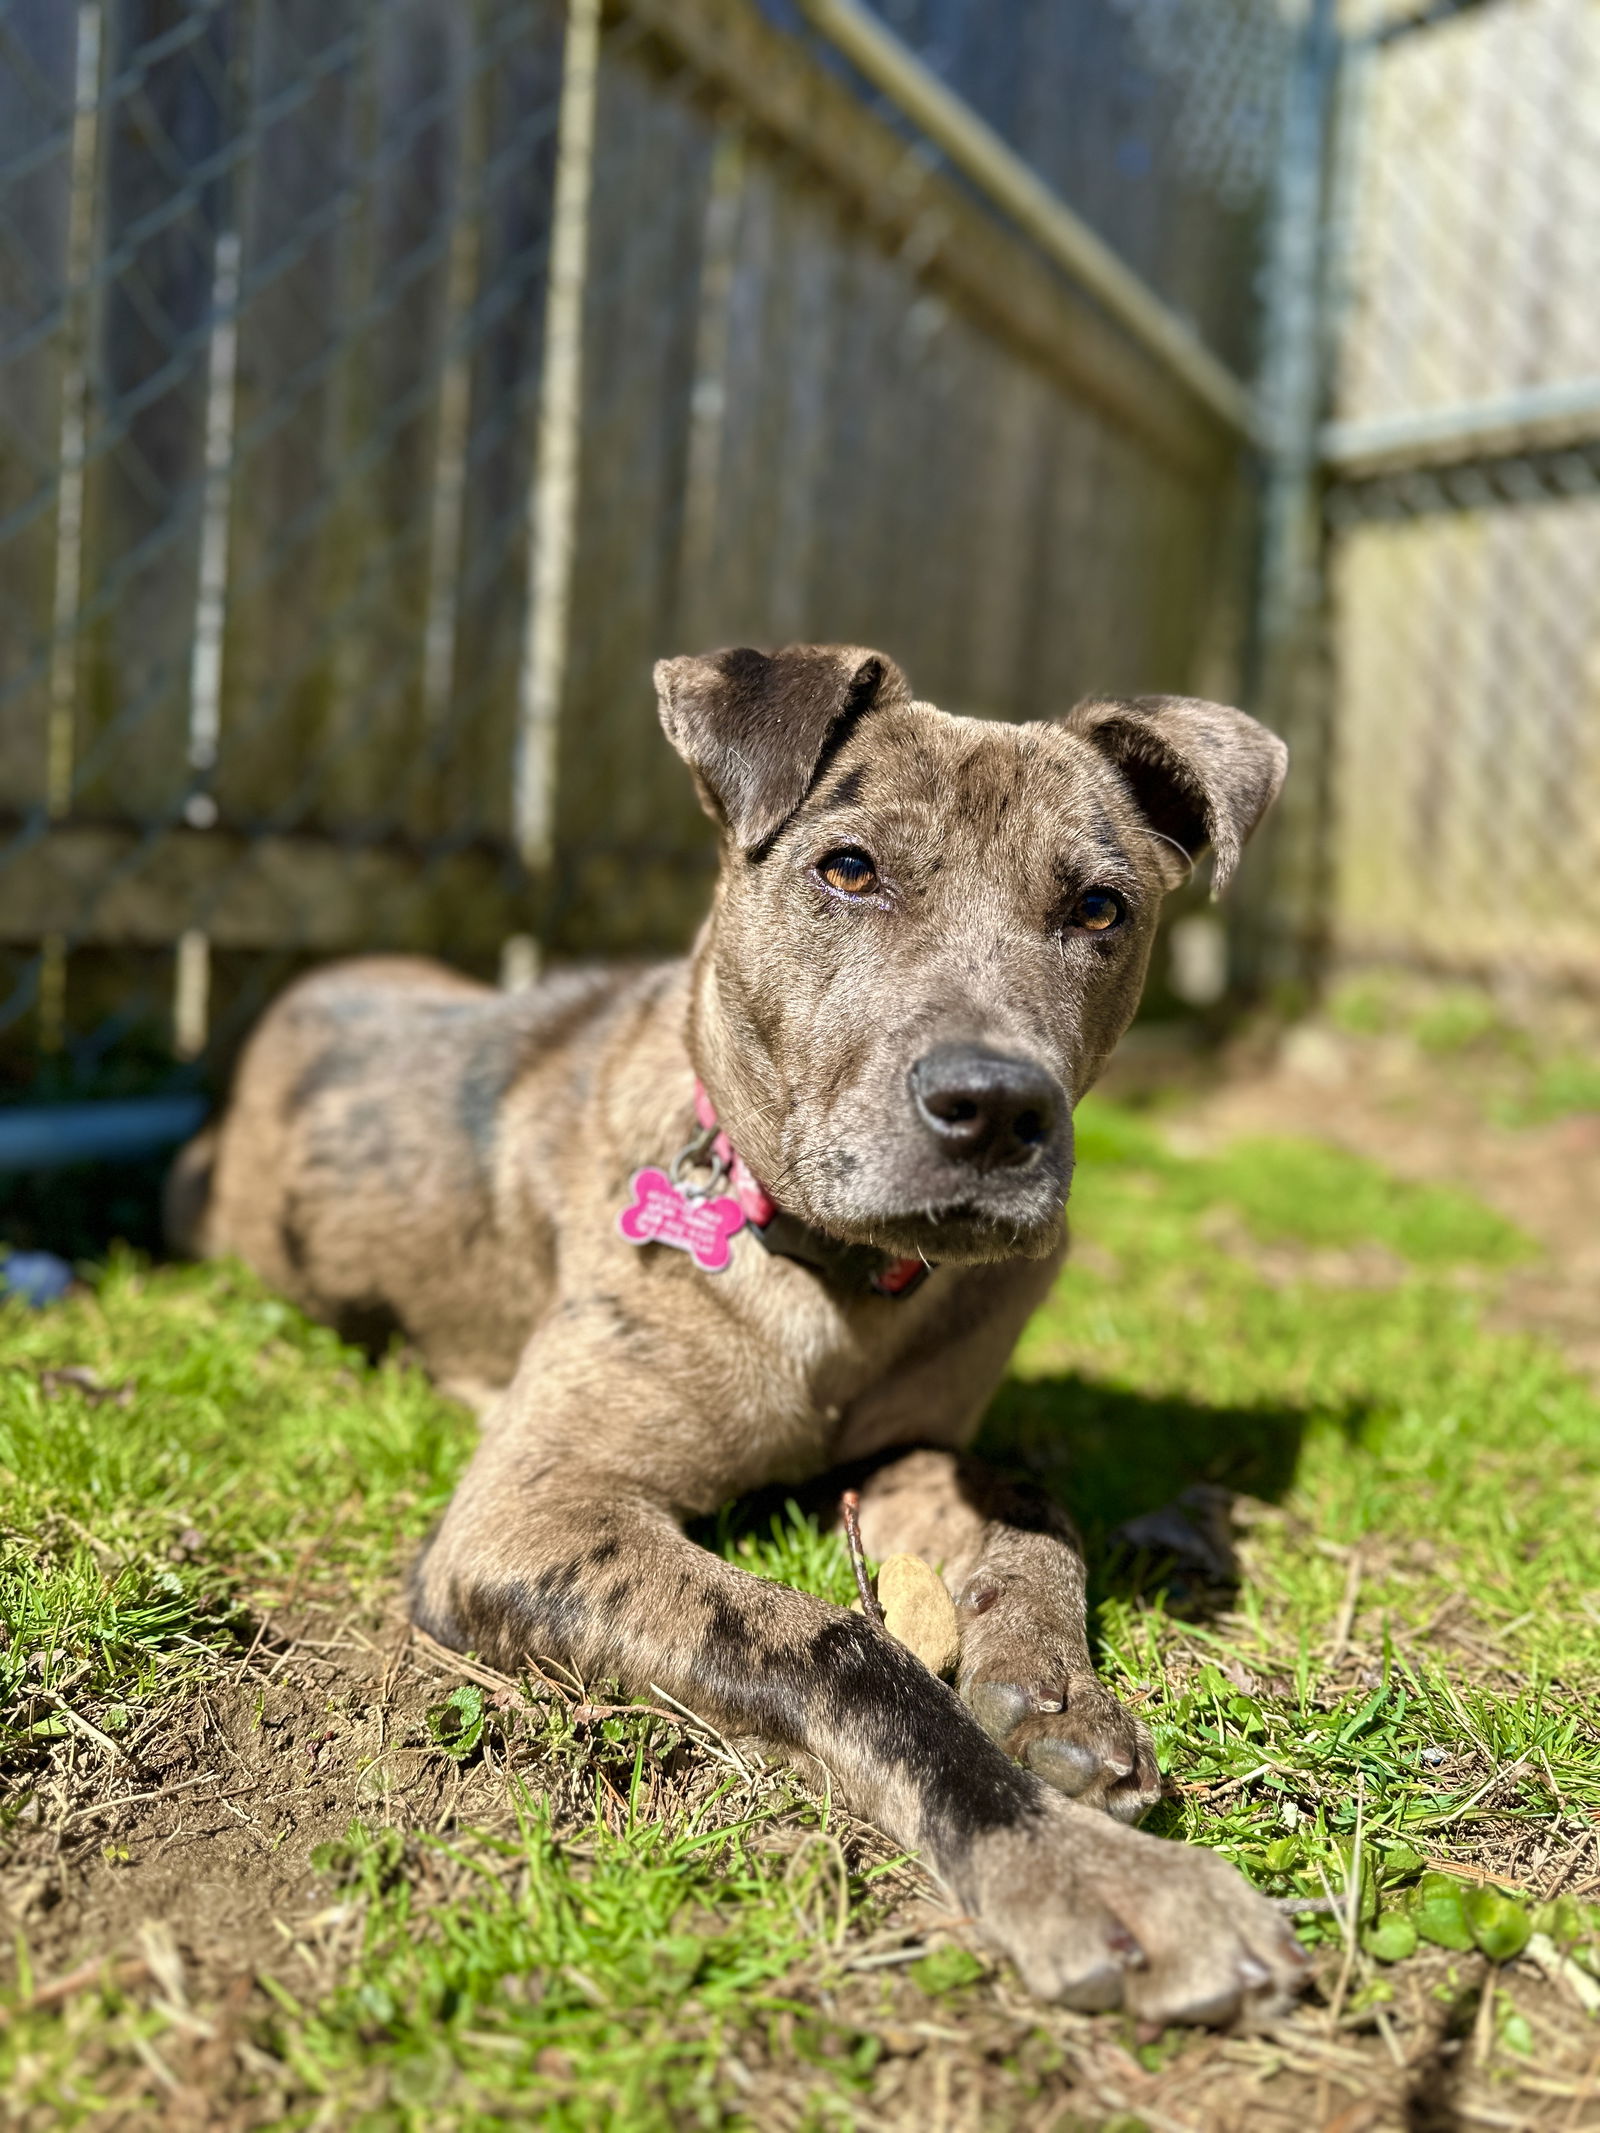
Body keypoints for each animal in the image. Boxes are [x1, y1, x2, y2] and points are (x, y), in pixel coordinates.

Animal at [174, 639, 1305, 2022]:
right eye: (849, 869)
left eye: (1100, 908)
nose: (995, 1109)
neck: (834, 1274)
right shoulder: (533, 1511)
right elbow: (837, 1648)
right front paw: (1076, 1863)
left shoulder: (907, 1447)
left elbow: (1026, 1498)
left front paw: (1051, 1690)